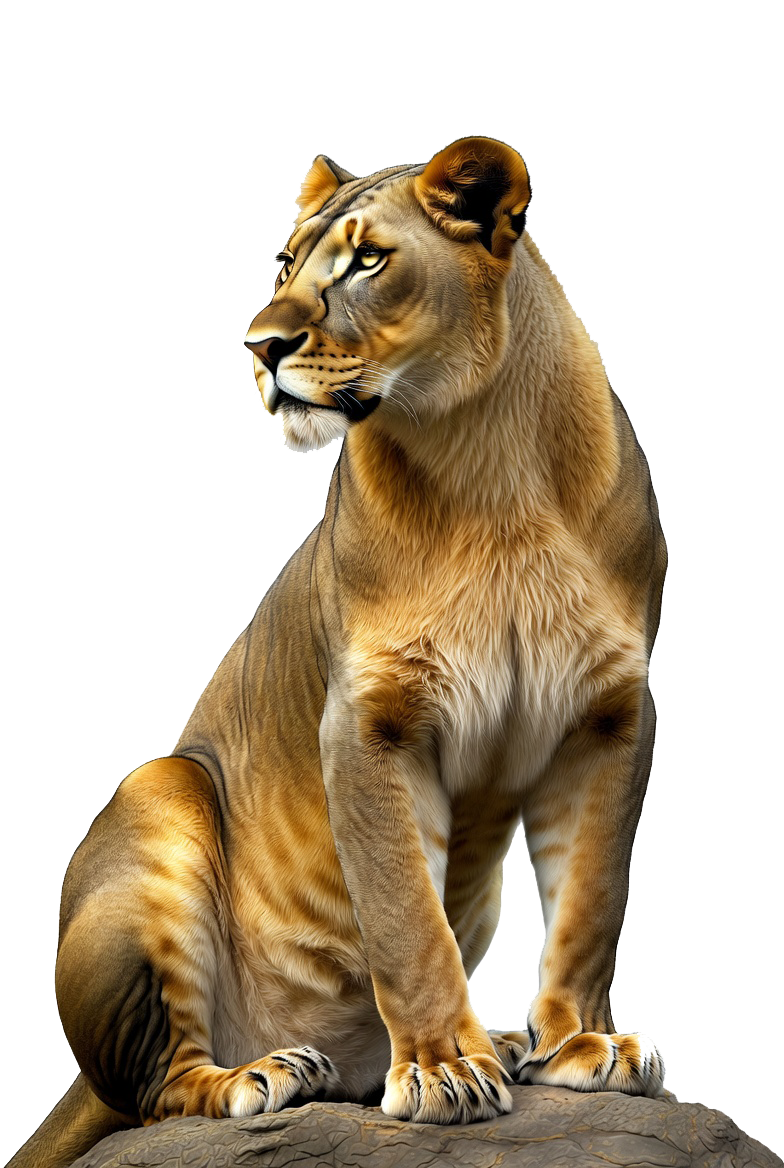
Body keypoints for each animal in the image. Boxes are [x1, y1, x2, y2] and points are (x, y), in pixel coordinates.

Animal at [10, 136, 667, 1168]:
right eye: (283, 266)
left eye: (367, 261)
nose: (258, 347)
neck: (490, 463)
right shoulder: (368, 722)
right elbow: (404, 917)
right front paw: (443, 1072)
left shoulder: (611, 711)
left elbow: (591, 900)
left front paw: (576, 1044)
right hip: (161, 786)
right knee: (154, 1088)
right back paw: (262, 1075)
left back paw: (504, 1041)